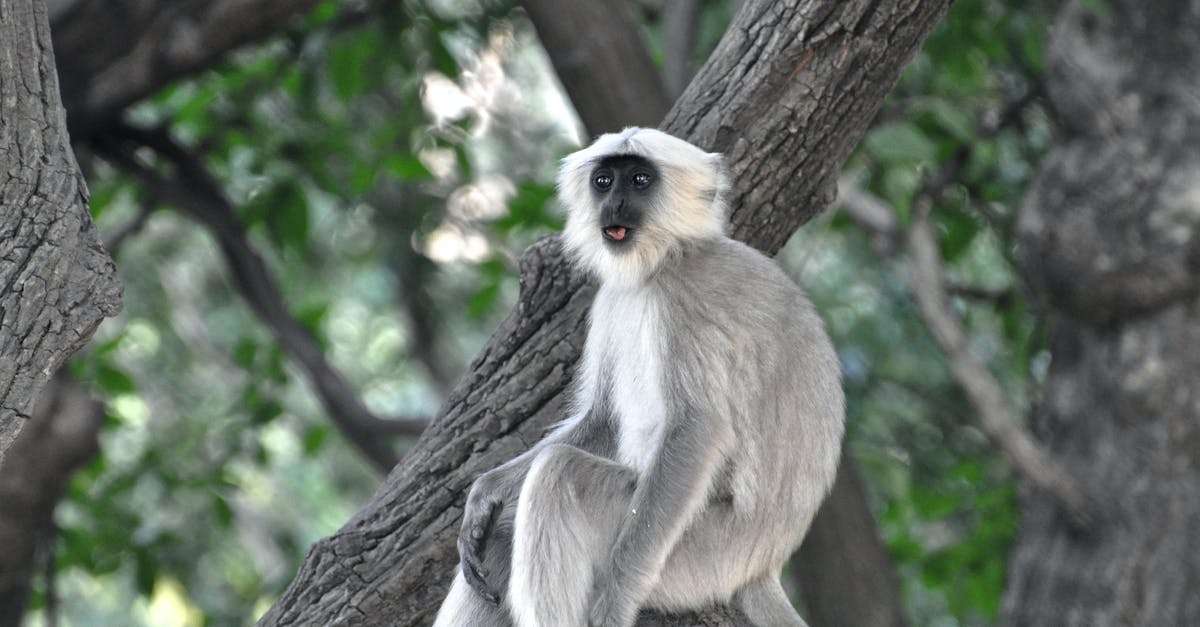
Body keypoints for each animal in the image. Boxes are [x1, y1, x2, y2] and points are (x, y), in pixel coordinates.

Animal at [434, 126, 844, 624]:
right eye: (604, 181)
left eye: (640, 180)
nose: (614, 206)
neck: (667, 259)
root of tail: (764, 564)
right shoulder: (611, 297)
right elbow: (604, 419)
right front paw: (487, 491)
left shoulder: (684, 303)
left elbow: (696, 430)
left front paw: (617, 598)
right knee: (501, 535)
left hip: (699, 553)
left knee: (561, 474)